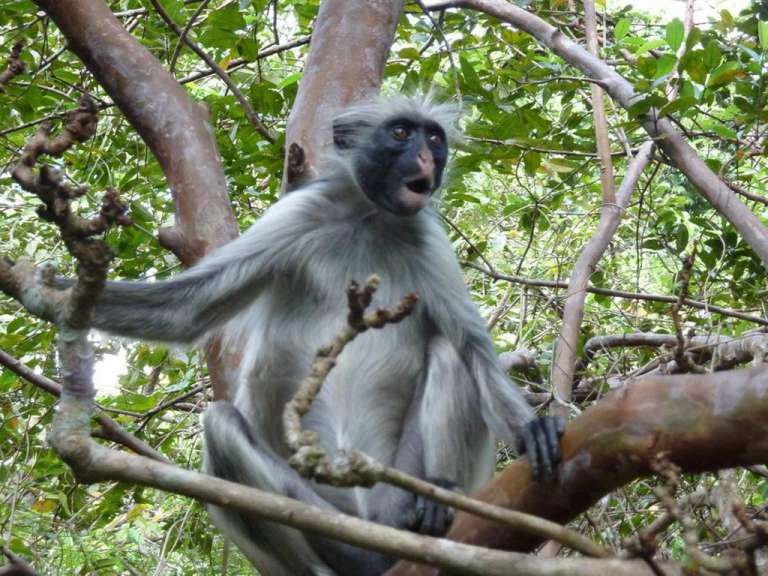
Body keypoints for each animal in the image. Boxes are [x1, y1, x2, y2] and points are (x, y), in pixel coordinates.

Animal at [75, 96, 564, 575]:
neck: (371, 217)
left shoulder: (429, 240)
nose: (427, 157)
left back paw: (434, 503)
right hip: (324, 505)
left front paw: (531, 429)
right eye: (401, 133)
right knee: (222, 424)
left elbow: (473, 348)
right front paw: (57, 296)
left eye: (435, 139)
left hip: (393, 490)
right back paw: (354, 560)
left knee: (449, 351)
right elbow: (185, 311)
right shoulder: (302, 211)